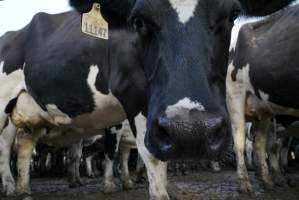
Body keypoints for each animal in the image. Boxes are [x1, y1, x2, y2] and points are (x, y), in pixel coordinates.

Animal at [227, 5, 299, 194]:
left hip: (264, 109)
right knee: (240, 141)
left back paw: (267, 181)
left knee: (259, 144)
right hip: (234, 96)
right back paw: (245, 182)